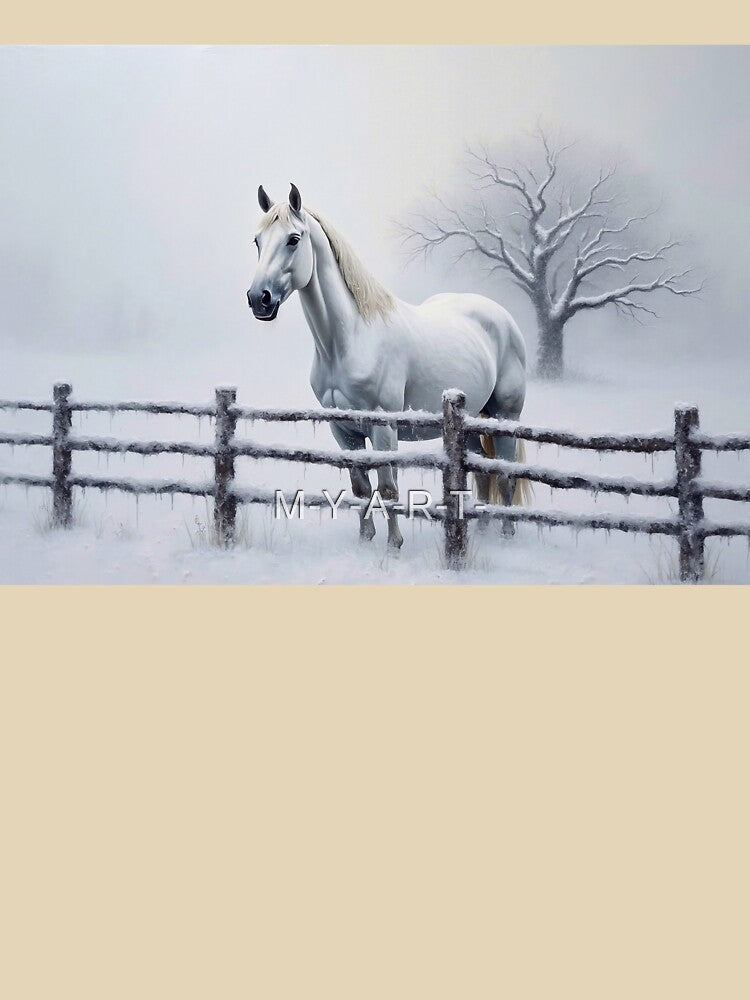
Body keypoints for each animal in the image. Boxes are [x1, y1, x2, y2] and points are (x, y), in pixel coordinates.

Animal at [247, 183, 530, 549]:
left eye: (293, 239)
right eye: (257, 241)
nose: (259, 299)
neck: (352, 338)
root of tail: (501, 316)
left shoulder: (383, 427)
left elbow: (388, 488)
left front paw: (394, 544)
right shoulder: (343, 430)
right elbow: (361, 487)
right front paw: (366, 538)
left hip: (505, 416)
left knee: (507, 474)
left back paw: (507, 534)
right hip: (468, 423)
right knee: (480, 470)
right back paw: (481, 530)